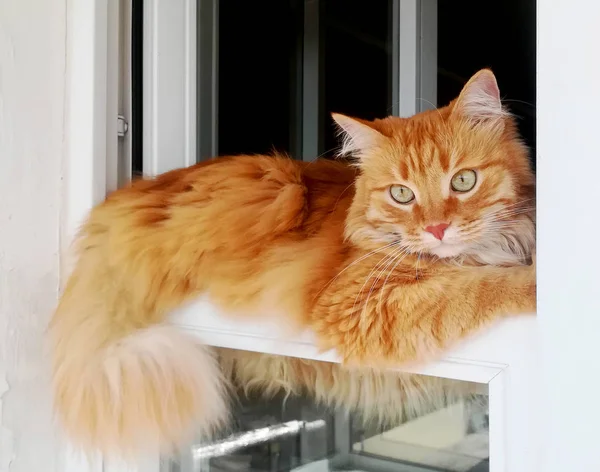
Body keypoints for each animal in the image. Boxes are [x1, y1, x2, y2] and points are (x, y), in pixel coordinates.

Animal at [50, 70, 536, 460]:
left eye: (463, 181)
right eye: (402, 194)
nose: (437, 228)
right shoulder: (361, 302)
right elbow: (480, 286)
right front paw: (529, 283)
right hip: (279, 186)